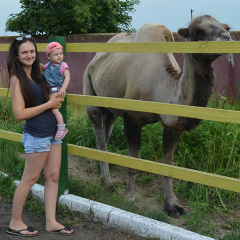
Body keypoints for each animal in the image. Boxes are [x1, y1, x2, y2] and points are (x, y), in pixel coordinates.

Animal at [82, 15, 231, 216]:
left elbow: (168, 163)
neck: (161, 86)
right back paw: (108, 183)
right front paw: (129, 197)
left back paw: (103, 178)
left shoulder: (173, 125)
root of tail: (95, 58)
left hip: (111, 106)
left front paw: (172, 205)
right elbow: (134, 158)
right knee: (100, 134)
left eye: (226, 27)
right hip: (90, 89)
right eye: (198, 31)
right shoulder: (132, 118)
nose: (227, 37)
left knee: (104, 134)